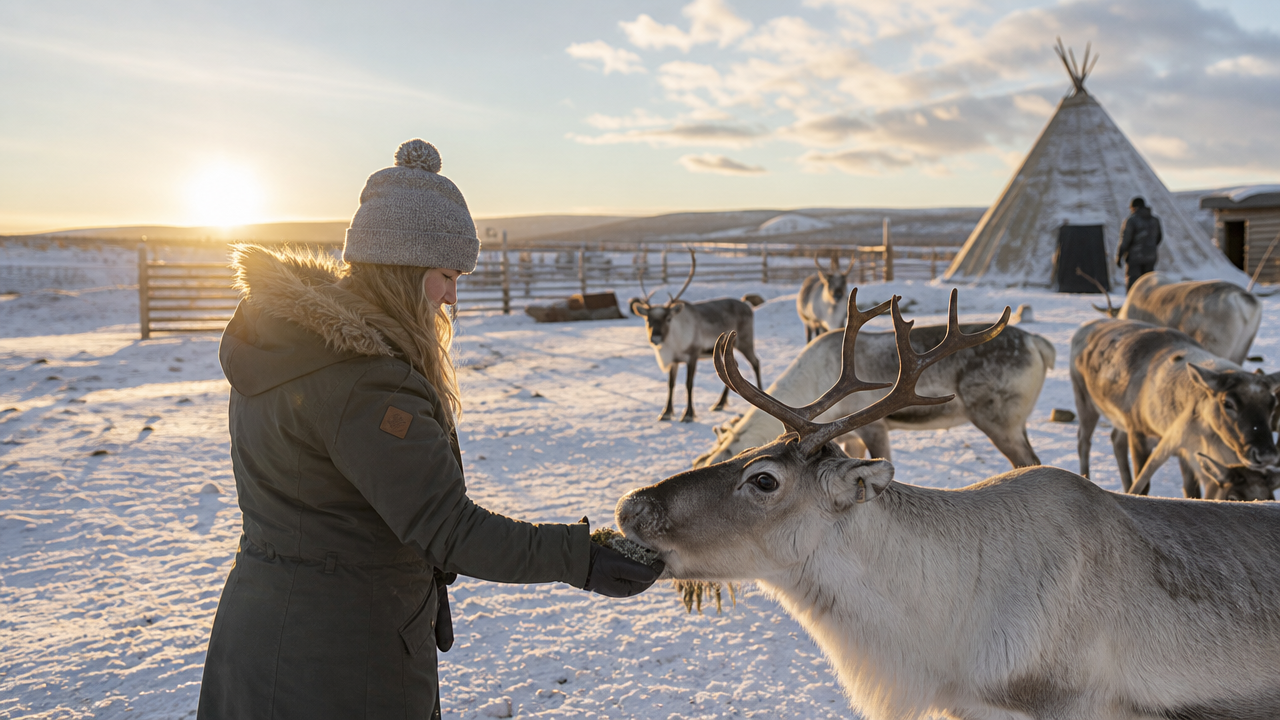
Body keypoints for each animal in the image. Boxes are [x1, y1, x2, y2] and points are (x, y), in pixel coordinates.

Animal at [629, 249, 763, 423]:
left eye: (668, 318)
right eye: (648, 319)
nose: (656, 338)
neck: (674, 341)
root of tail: (746, 304)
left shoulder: (693, 355)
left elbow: (688, 383)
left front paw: (688, 414)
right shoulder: (674, 360)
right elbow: (671, 384)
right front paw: (666, 412)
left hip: (745, 342)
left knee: (756, 362)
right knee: (736, 366)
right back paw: (719, 403)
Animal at [696, 291, 1053, 468]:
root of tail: (1038, 343)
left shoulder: (875, 427)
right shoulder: (849, 436)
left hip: (998, 419)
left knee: (1029, 462)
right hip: (1017, 420)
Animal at [1071, 317, 1280, 498]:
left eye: (1272, 404)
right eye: (1227, 403)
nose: (1266, 454)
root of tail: (1085, 327)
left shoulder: (1187, 449)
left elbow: (1191, 490)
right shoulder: (1140, 433)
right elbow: (1144, 486)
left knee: (1116, 439)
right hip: (1084, 399)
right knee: (1083, 441)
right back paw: (1086, 476)